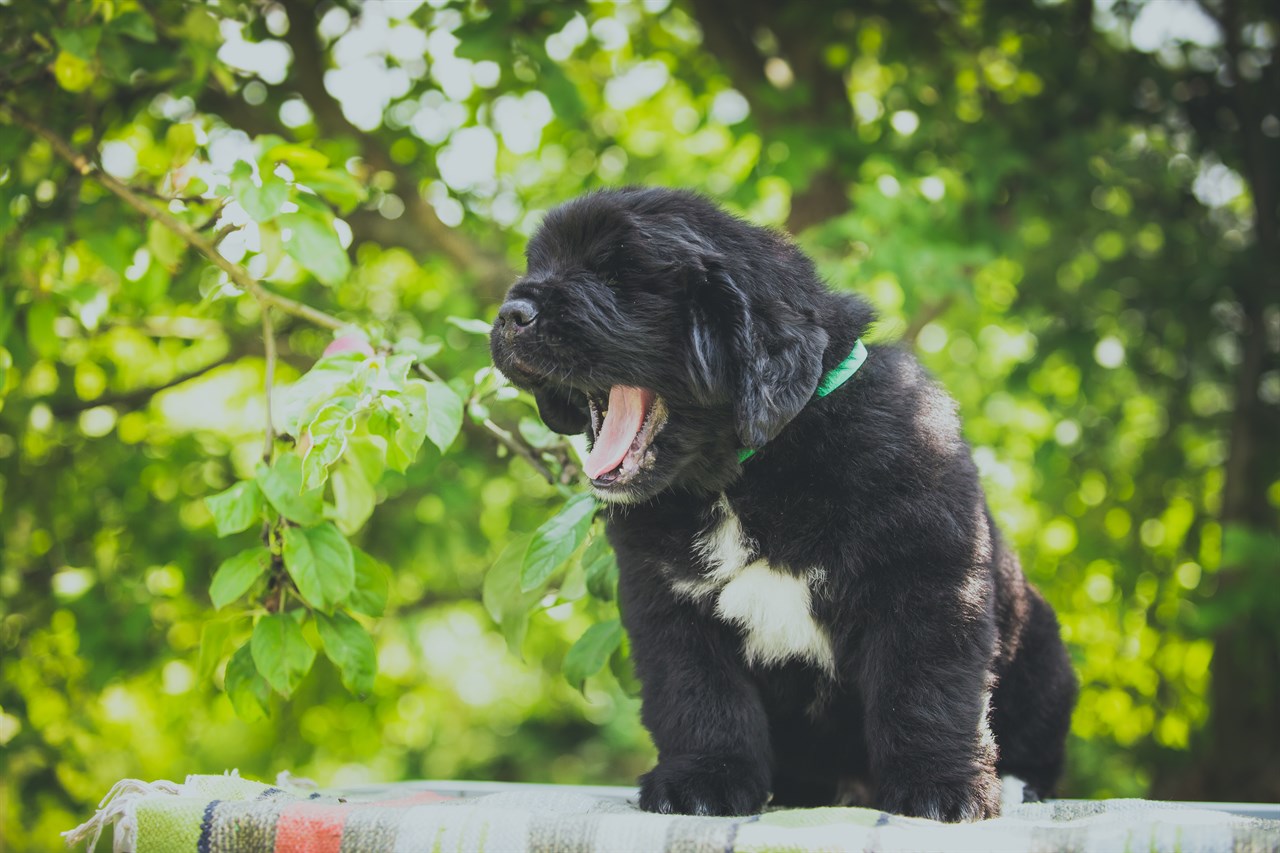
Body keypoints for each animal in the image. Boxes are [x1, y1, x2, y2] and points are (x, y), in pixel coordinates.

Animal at [483, 185, 1075, 819]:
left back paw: (1015, 783)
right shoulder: (668, 606)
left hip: (1044, 655)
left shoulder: (927, 577)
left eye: (615, 274)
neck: (745, 475)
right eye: (538, 266)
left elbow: (926, 688)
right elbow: (699, 696)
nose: (511, 314)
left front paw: (942, 788)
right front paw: (704, 780)